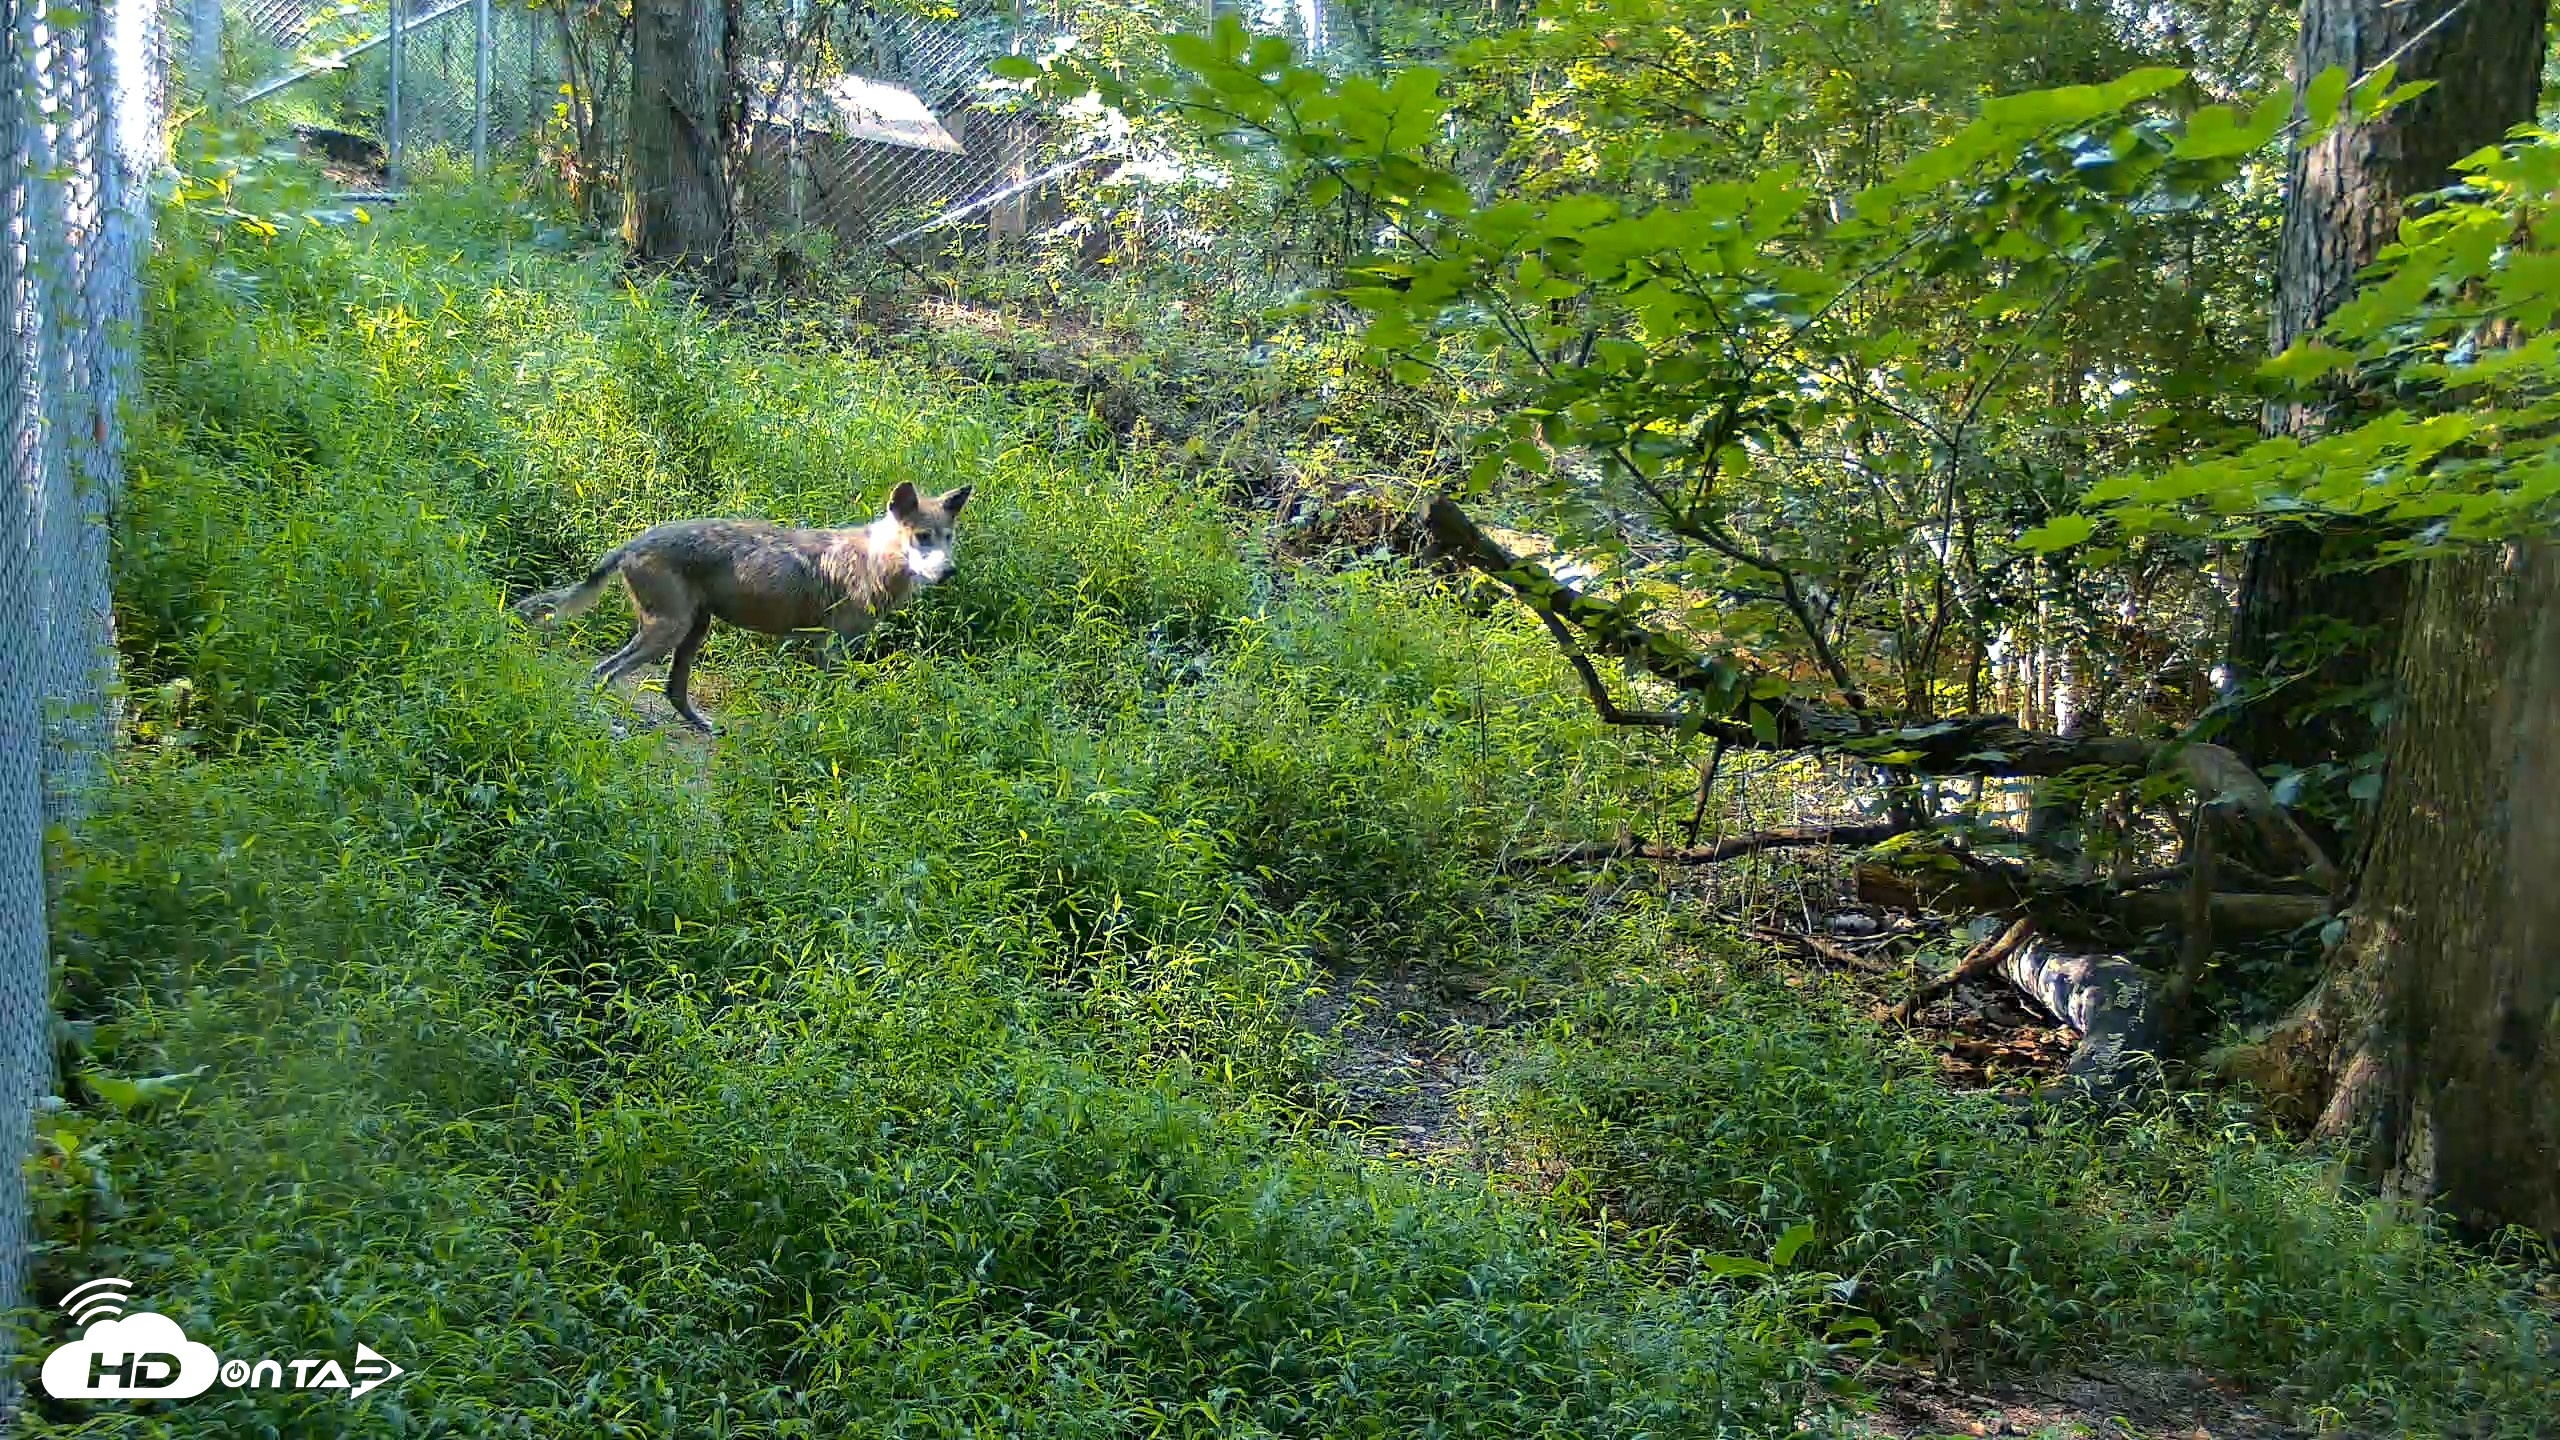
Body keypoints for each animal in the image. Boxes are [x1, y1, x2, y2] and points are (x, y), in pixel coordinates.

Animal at [512, 481, 973, 735]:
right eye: (922, 538)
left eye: (948, 538)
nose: (950, 571)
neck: (876, 563)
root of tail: (634, 542)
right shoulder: (830, 650)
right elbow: (832, 706)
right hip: (667, 633)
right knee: (602, 673)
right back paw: (606, 725)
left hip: (693, 631)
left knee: (671, 690)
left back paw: (703, 727)